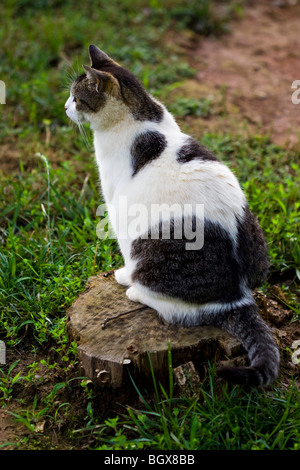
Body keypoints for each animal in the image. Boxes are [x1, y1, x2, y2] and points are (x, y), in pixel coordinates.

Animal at [64, 46, 280, 388]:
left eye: (76, 97)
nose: (64, 106)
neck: (141, 115)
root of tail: (236, 297)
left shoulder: (118, 209)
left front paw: (123, 275)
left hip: (149, 252)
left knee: (174, 308)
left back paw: (135, 289)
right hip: (256, 238)